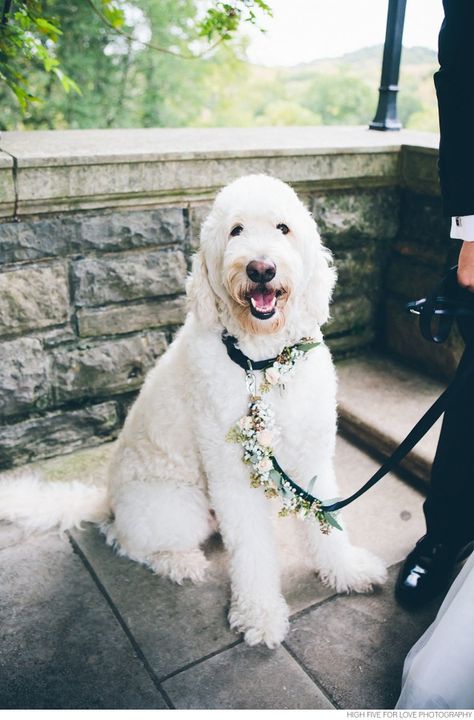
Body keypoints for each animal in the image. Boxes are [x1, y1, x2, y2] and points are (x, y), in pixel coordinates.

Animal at [0, 173, 386, 648]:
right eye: (236, 230)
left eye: (283, 228)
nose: (261, 268)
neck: (262, 361)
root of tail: (107, 499)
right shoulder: (232, 475)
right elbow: (252, 553)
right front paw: (259, 614)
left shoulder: (312, 456)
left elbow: (326, 521)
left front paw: (347, 571)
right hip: (178, 509)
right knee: (124, 541)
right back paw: (180, 563)